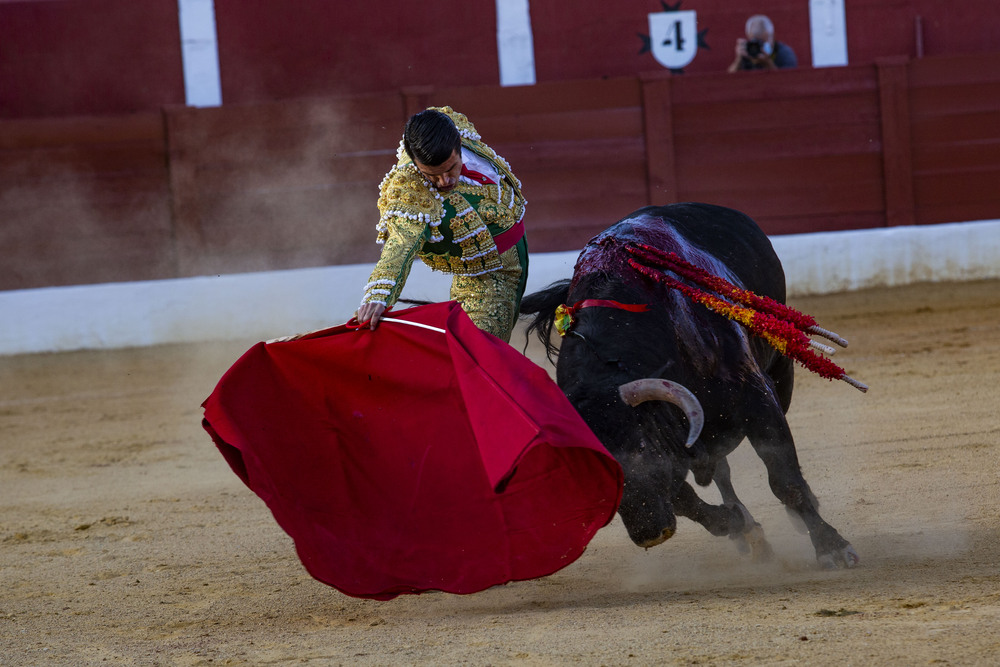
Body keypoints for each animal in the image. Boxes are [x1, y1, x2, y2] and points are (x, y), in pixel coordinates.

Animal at [520, 204, 856, 568]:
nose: (650, 534)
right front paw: (736, 523)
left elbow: (784, 478)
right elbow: (686, 497)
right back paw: (749, 534)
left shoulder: (756, 396)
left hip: (781, 370)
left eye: (641, 447)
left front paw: (832, 547)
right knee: (721, 472)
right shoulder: (677, 434)